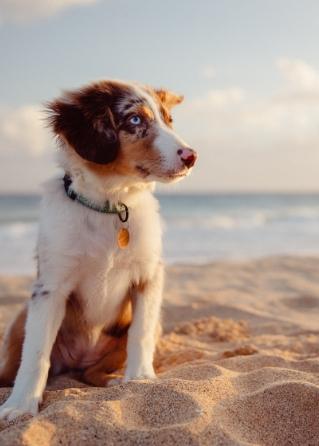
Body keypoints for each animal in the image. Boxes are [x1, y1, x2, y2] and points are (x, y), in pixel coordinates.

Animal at [0, 81, 198, 422]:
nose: (191, 156)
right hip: (18, 320)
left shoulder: (148, 275)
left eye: (169, 119)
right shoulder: (51, 286)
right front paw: (21, 404)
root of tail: (78, 359)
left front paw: (140, 379)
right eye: (135, 120)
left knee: (91, 373)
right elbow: (36, 352)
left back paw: (113, 381)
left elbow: (140, 333)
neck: (111, 204)